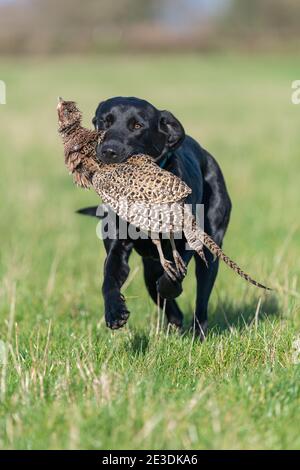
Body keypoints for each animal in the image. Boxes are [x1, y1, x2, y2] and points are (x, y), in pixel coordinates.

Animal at [78, 96, 231, 338]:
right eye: (104, 121)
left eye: (137, 126)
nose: (109, 150)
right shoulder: (117, 247)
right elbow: (109, 278)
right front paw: (114, 312)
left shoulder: (186, 240)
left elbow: (175, 272)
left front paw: (171, 286)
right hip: (149, 269)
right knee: (163, 297)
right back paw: (174, 320)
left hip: (210, 248)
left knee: (201, 299)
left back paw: (198, 331)